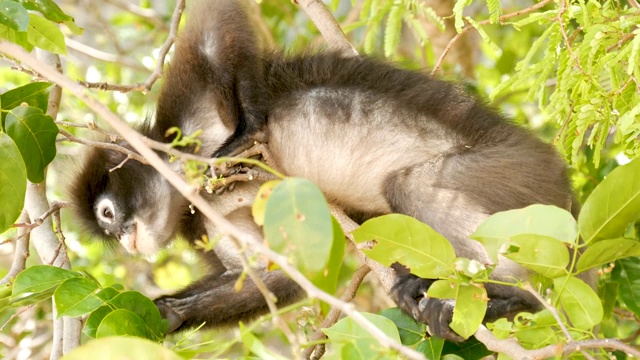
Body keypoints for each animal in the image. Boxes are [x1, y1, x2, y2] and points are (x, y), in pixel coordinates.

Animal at [69, 0, 584, 344]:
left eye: (108, 214)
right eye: (108, 231)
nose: (126, 241)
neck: (194, 193)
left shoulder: (180, 115)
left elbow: (215, 32)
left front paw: (251, 126)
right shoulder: (210, 219)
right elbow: (278, 273)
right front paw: (165, 313)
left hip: (516, 171)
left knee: (412, 185)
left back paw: (517, 298)